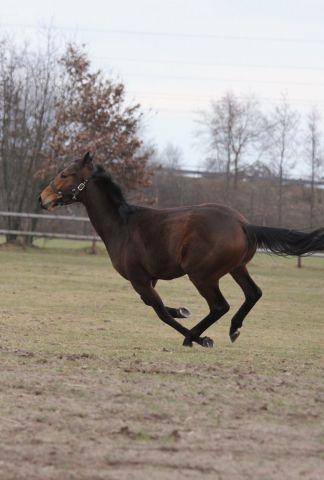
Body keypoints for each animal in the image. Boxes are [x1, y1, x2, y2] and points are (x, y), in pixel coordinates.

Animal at [39, 152, 324, 346]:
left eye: (65, 174)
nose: (42, 198)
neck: (122, 224)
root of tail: (244, 224)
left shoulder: (139, 279)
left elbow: (160, 313)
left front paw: (198, 336)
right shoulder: (147, 279)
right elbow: (153, 305)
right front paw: (183, 311)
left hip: (202, 275)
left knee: (220, 306)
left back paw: (196, 337)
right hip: (237, 268)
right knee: (253, 293)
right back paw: (233, 329)